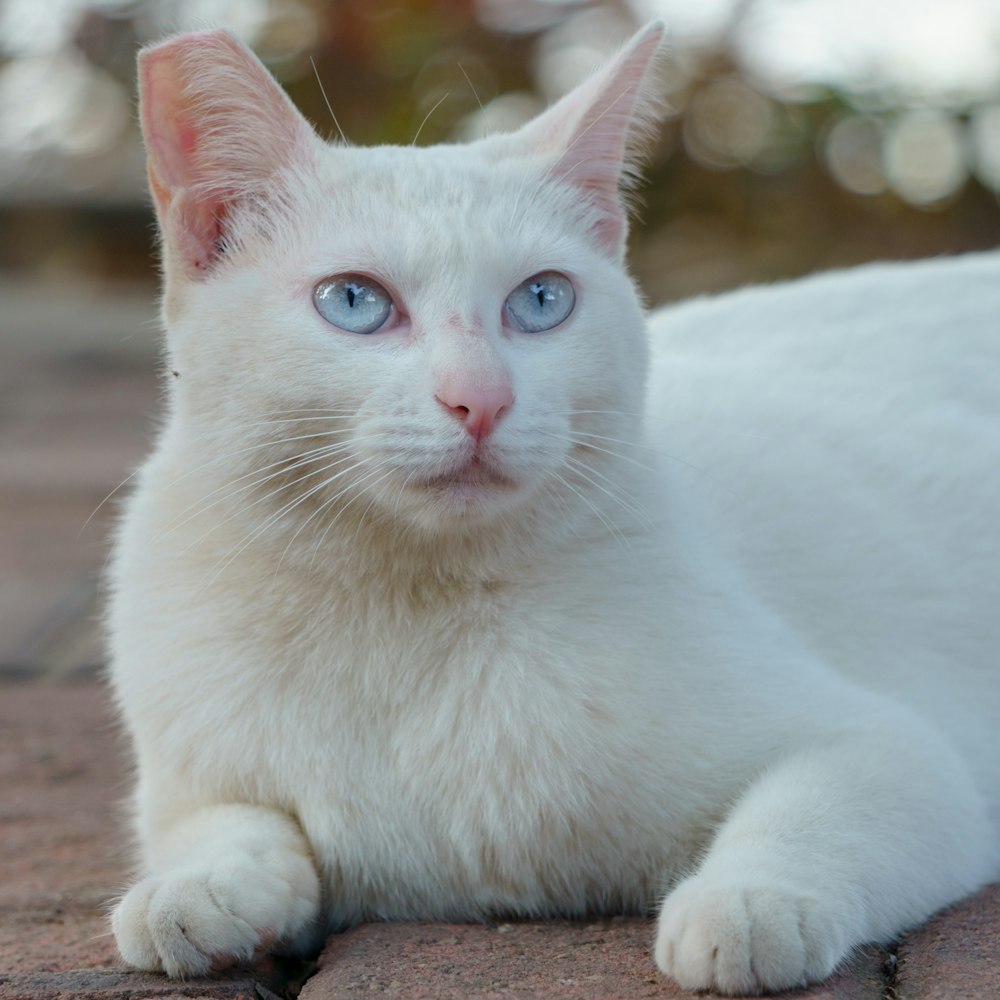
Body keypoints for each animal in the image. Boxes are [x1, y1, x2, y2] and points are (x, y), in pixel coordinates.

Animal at [105, 21, 996, 992]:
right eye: (355, 301)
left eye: (541, 300)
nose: (480, 400)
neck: (414, 609)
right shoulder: (183, 782)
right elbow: (220, 827)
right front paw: (196, 892)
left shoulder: (903, 751)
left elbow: (813, 808)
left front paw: (747, 906)